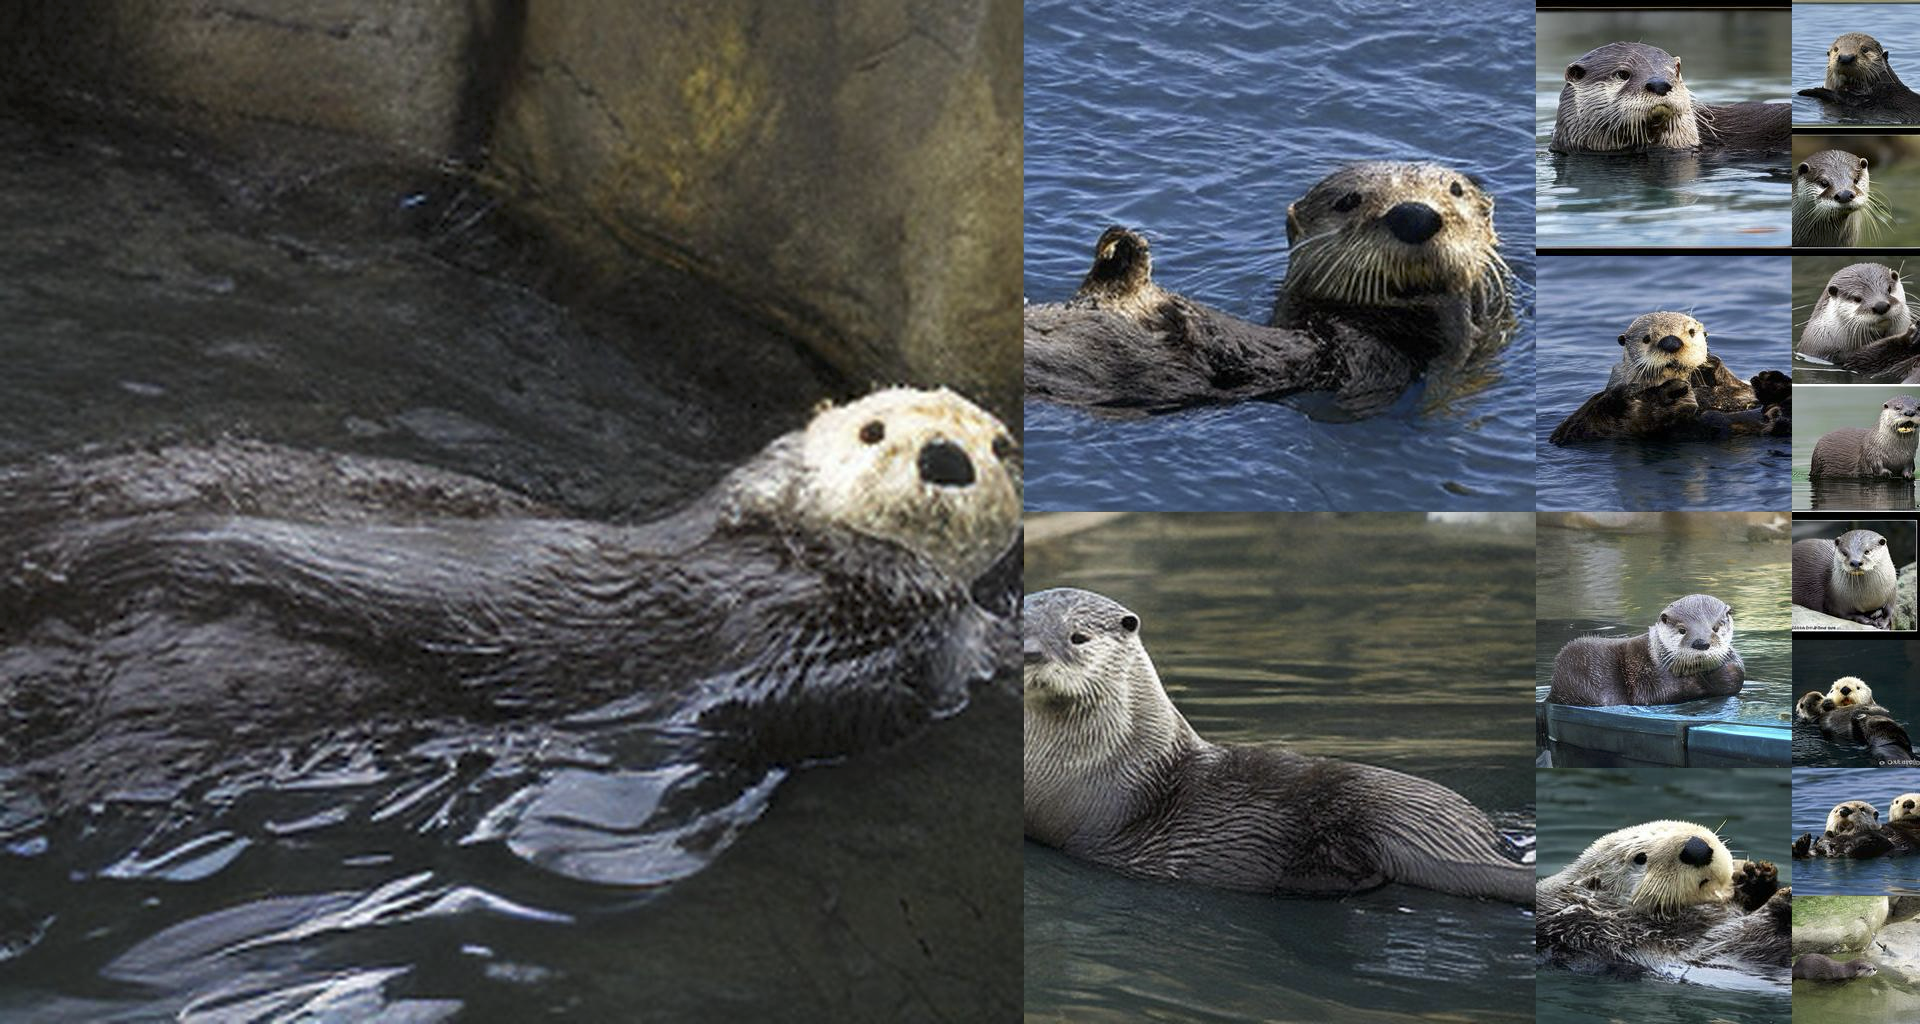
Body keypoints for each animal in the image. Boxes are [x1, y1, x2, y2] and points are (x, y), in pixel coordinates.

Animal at [1536, 821, 1790, 977]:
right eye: (1640, 858)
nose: (1696, 848)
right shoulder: (1604, 935)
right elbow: (1718, 946)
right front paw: (1779, 898)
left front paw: (1757, 875)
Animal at [1547, 594, 1744, 706]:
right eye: (1682, 630)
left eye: (1715, 628)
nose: (1701, 643)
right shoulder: (1647, 680)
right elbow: (1659, 695)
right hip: (1583, 667)